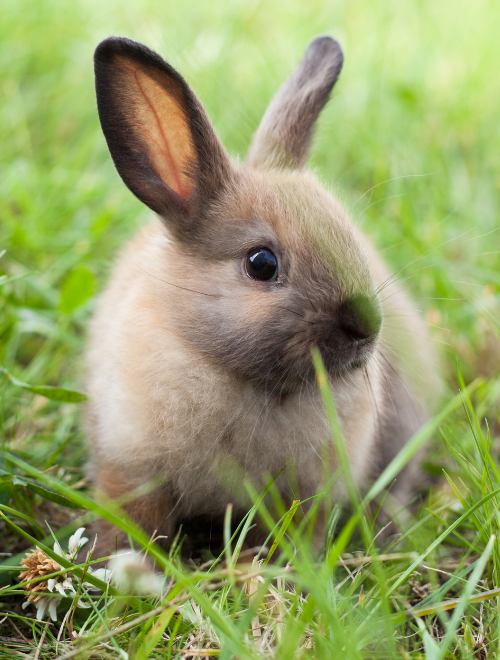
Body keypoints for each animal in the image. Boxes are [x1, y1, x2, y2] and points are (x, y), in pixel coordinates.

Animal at [88, 34, 440, 556]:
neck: (242, 377)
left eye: (350, 235)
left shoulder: (306, 494)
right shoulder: (130, 469)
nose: (366, 328)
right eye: (261, 264)